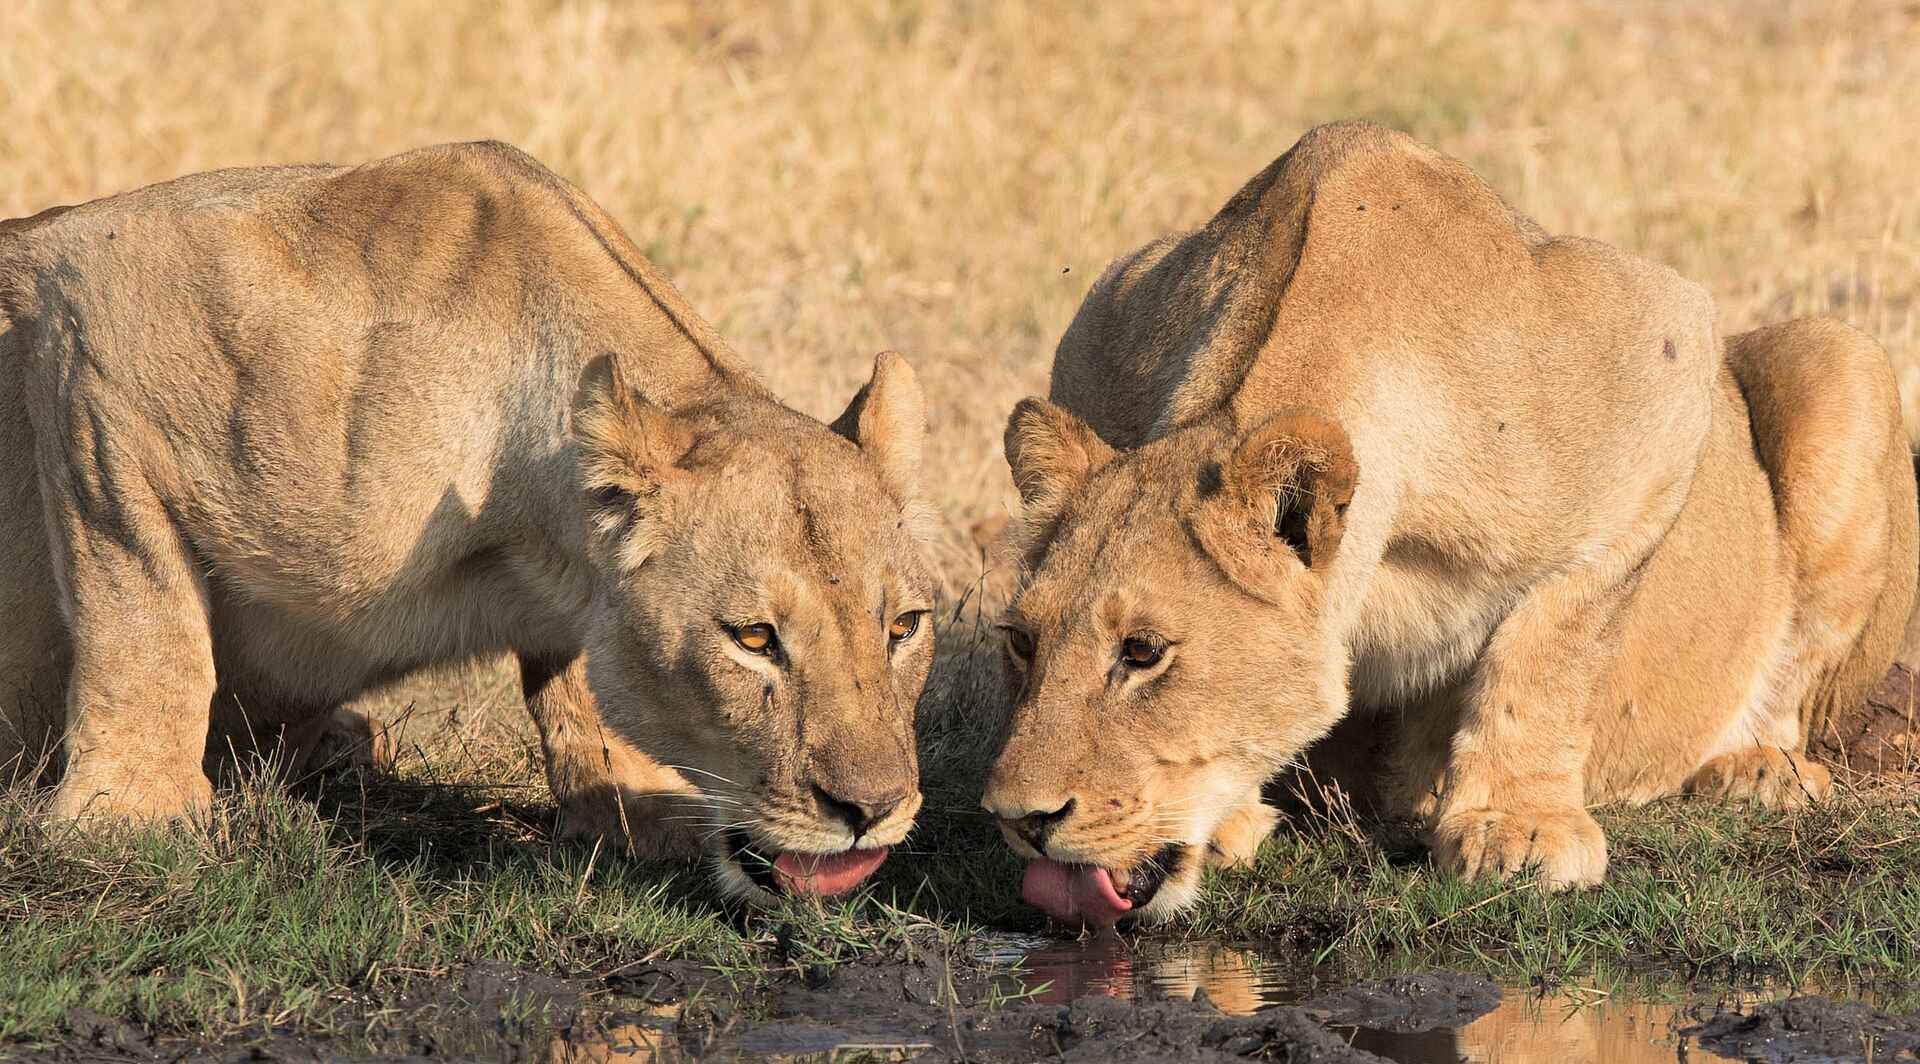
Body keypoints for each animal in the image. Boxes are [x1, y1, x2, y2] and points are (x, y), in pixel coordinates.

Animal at [0, 141, 937, 902]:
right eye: (752, 639)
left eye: (905, 627)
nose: (873, 809)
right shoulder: (97, 333)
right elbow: (144, 622)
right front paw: (131, 817)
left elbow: (581, 682)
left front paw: (639, 805)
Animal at [981, 121, 1917, 927]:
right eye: (1021, 642)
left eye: (1142, 653)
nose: (1019, 819)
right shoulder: (1097, 322)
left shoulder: (1663, 358)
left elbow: (1553, 641)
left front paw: (1519, 829)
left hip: (1842, 361)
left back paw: (1756, 769)